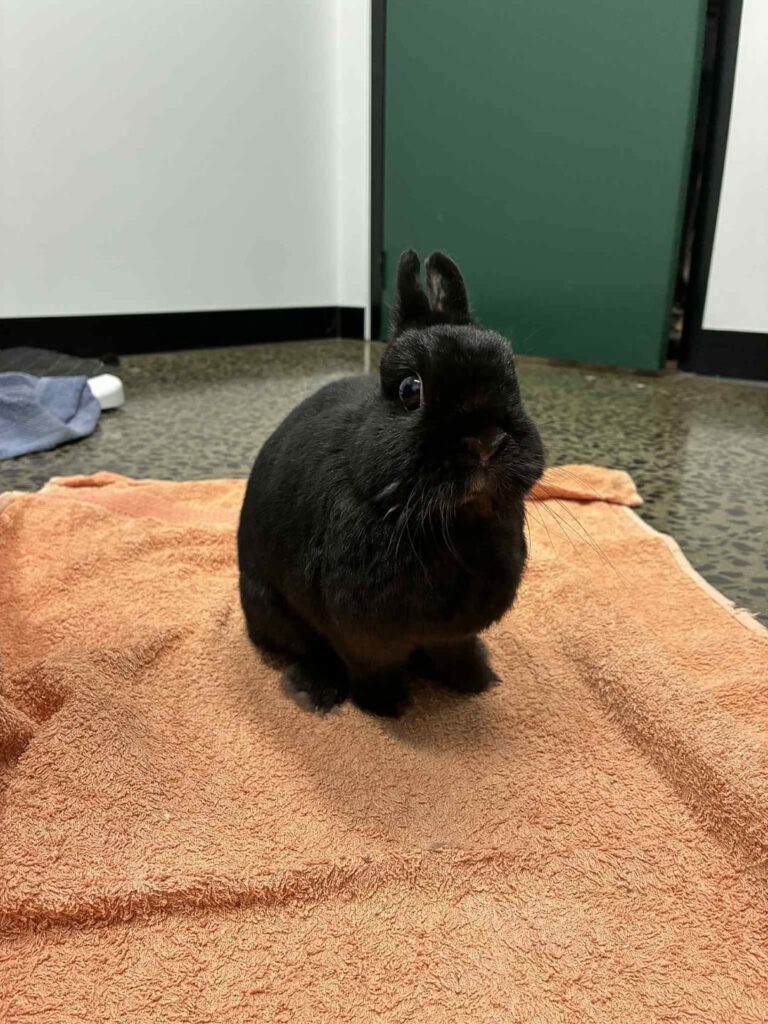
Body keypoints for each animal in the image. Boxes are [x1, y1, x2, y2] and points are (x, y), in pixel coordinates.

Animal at [237, 250, 544, 717]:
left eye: (513, 377)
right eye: (409, 390)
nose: (487, 441)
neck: (452, 527)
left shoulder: (455, 632)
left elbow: (456, 651)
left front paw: (477, 681)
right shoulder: (363, 640)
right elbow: (370, 669)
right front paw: (389, 707)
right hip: (269, 607)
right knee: (306, 649)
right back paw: (313, 691)